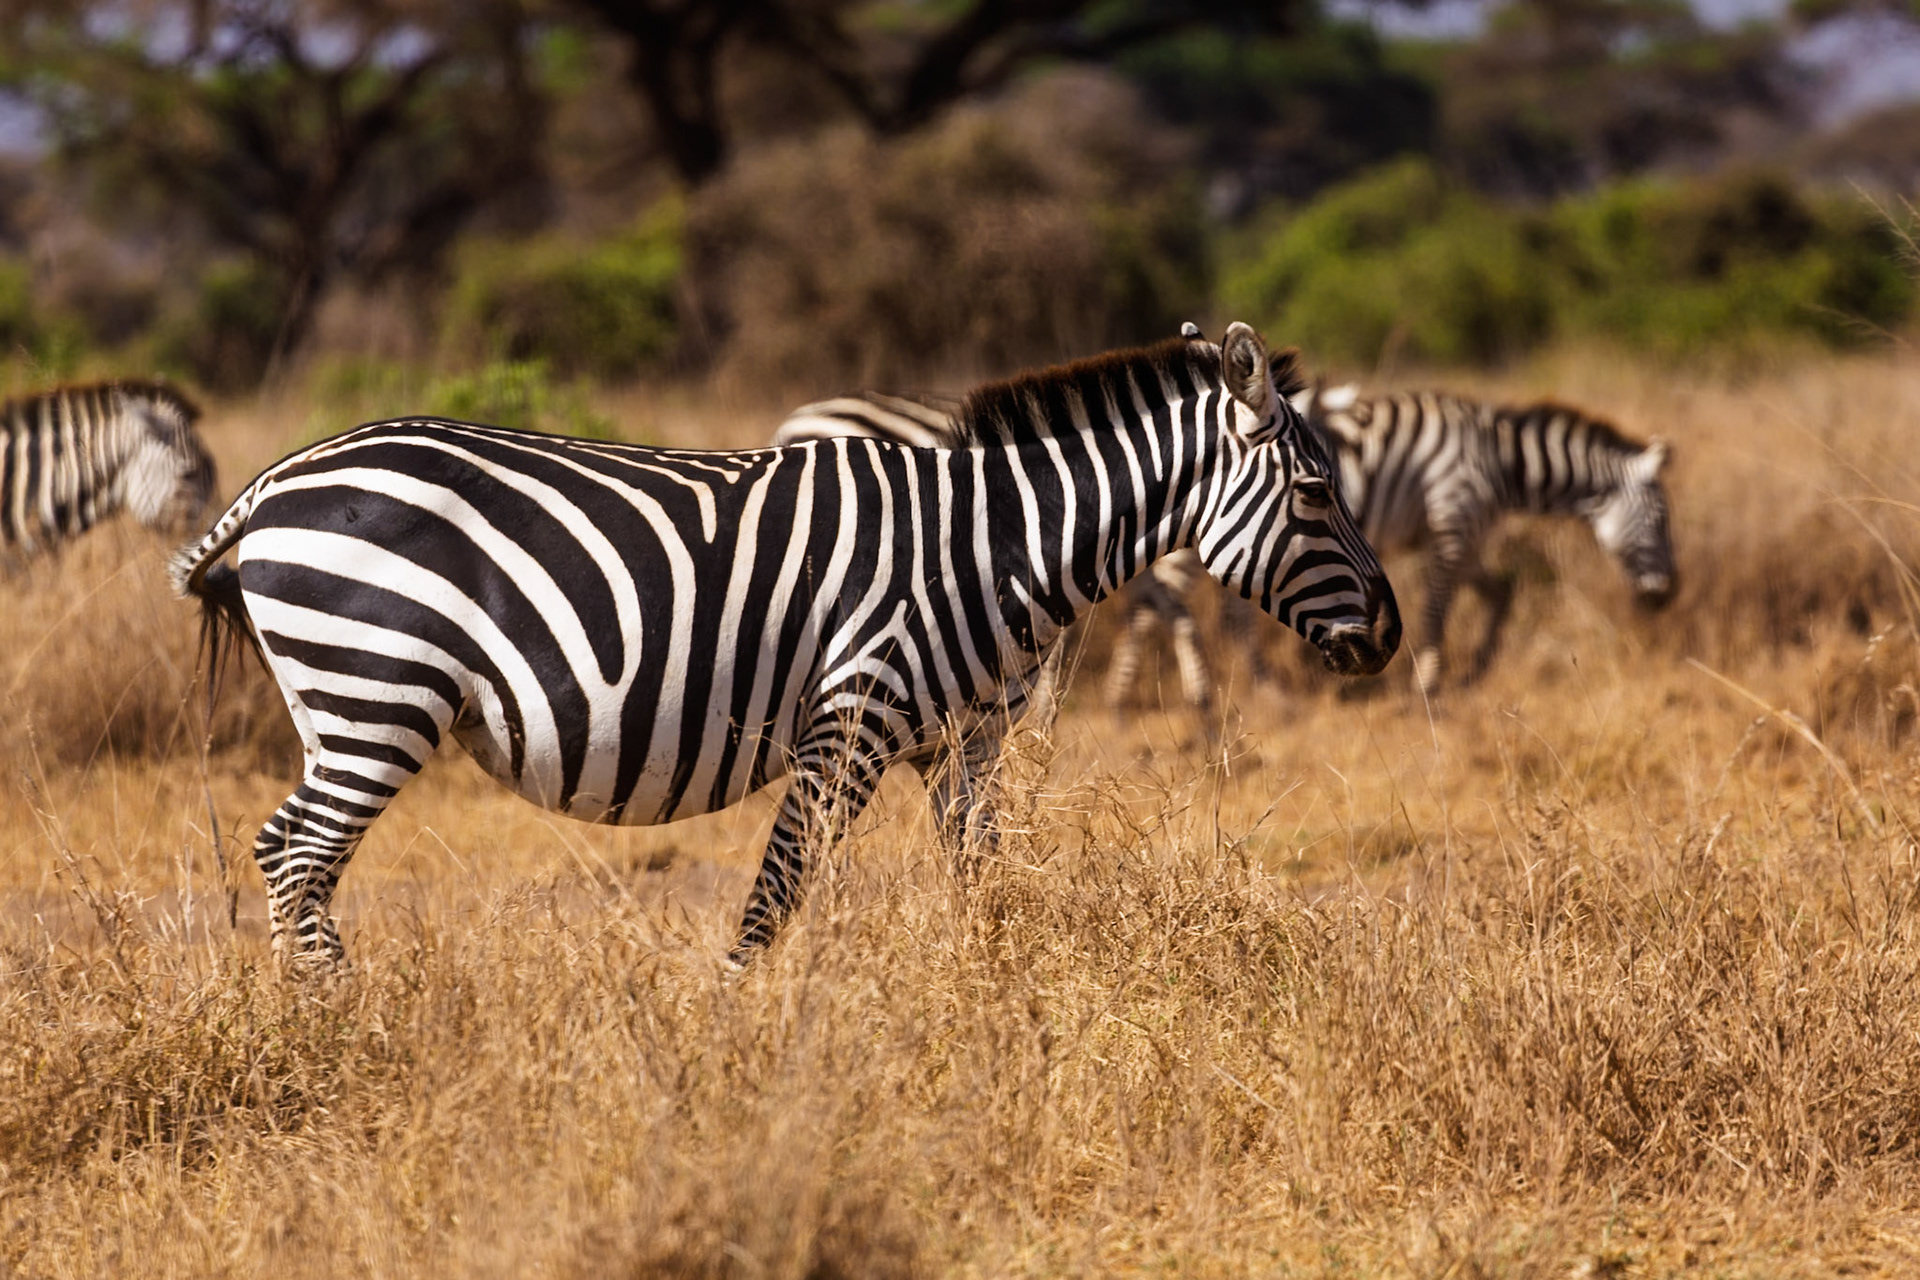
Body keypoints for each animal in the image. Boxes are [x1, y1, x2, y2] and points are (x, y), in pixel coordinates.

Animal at [171, 324, 1400, 969]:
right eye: (1314, 492)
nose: (1389, 634)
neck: (989, 544)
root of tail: (275, 483)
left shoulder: (961, 744)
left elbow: (981, 879)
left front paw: (994, 1001)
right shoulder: (853, 713)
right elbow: (779, 888)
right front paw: (734, 1031)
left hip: (348, 703)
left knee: (288, 854)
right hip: (375, 690)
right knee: (295, 854)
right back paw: (342, 1023)